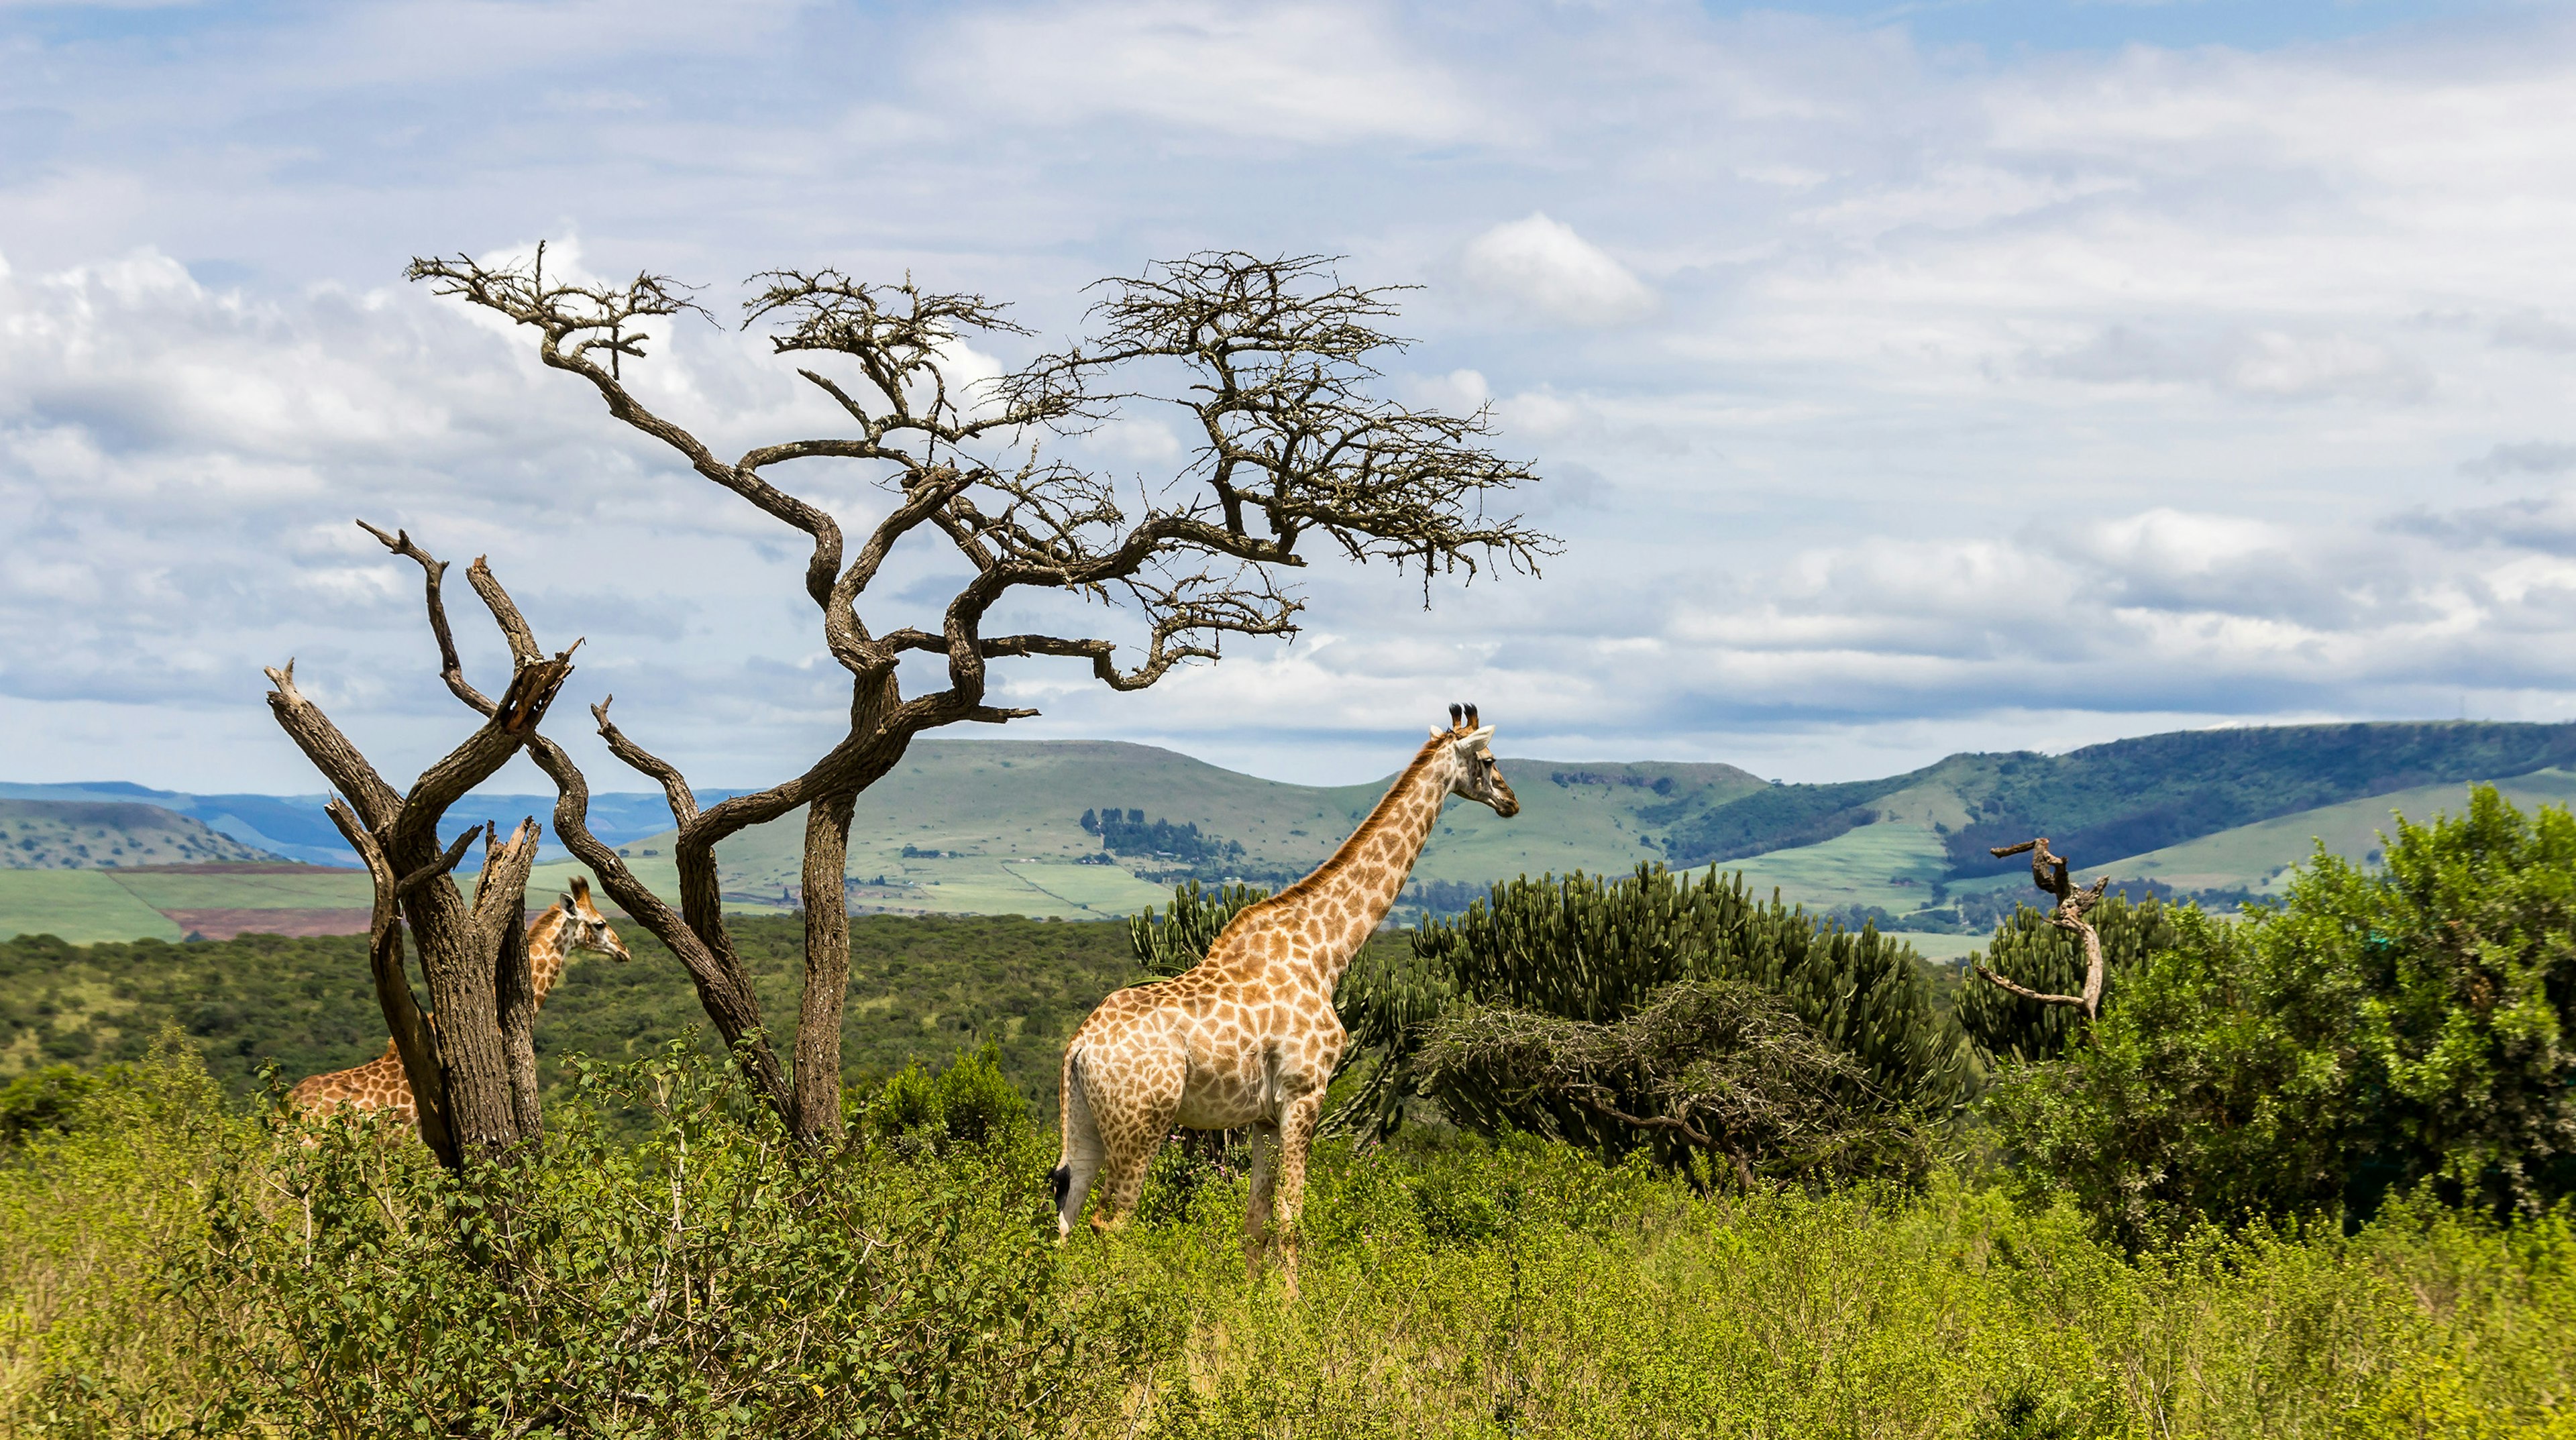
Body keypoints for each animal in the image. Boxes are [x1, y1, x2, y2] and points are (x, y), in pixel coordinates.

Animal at [1056, 700, 1514, 1282]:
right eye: (1490, 759)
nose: (1511, 801)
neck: (1327, 951)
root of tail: (1080, 1044)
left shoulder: (1263, 1117)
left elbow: (1255, 1220)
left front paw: (1253, 1302)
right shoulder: (1305, 1093)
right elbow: (1291, 1217)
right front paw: (1295, 1306)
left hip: (1087, 1122)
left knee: (1065, 1216)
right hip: (1142, 1123)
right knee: (1109, 1224)